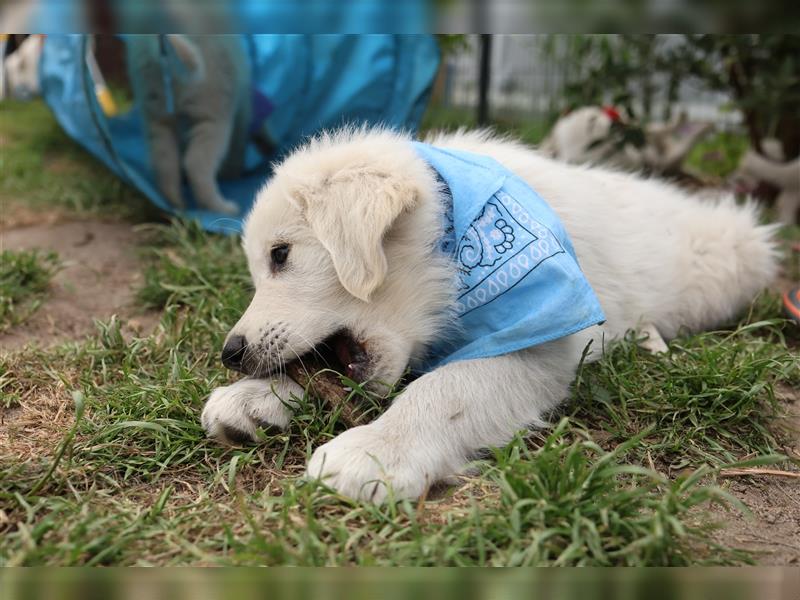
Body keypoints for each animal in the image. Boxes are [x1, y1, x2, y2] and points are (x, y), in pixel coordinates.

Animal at [198, 126, 776, 502]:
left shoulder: (536, 342)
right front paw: (253, 397)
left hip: (722, 265)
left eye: (281, 255)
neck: (453, 243)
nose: (231, 354)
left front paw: (376, 450)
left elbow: (444, 388)